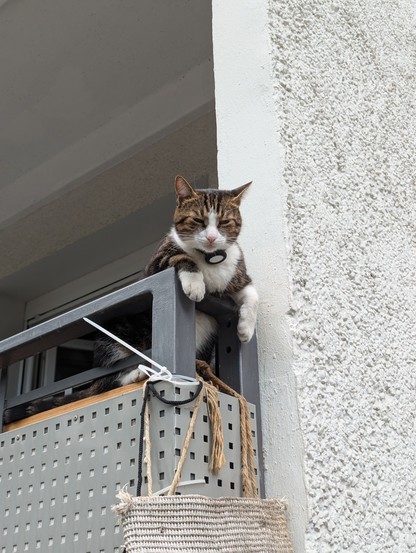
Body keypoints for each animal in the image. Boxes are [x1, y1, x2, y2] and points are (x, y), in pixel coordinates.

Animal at [2, 177, 256, 422]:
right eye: (198, 220)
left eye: (224, 222)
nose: (212, 238)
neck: (210, 261)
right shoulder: (155, 266)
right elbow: (181, 257)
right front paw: (195, 285)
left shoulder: (239, 275)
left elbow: (253, 295)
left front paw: (245, 330)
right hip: (114, 337)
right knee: (107, 382)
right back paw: (138, 372)